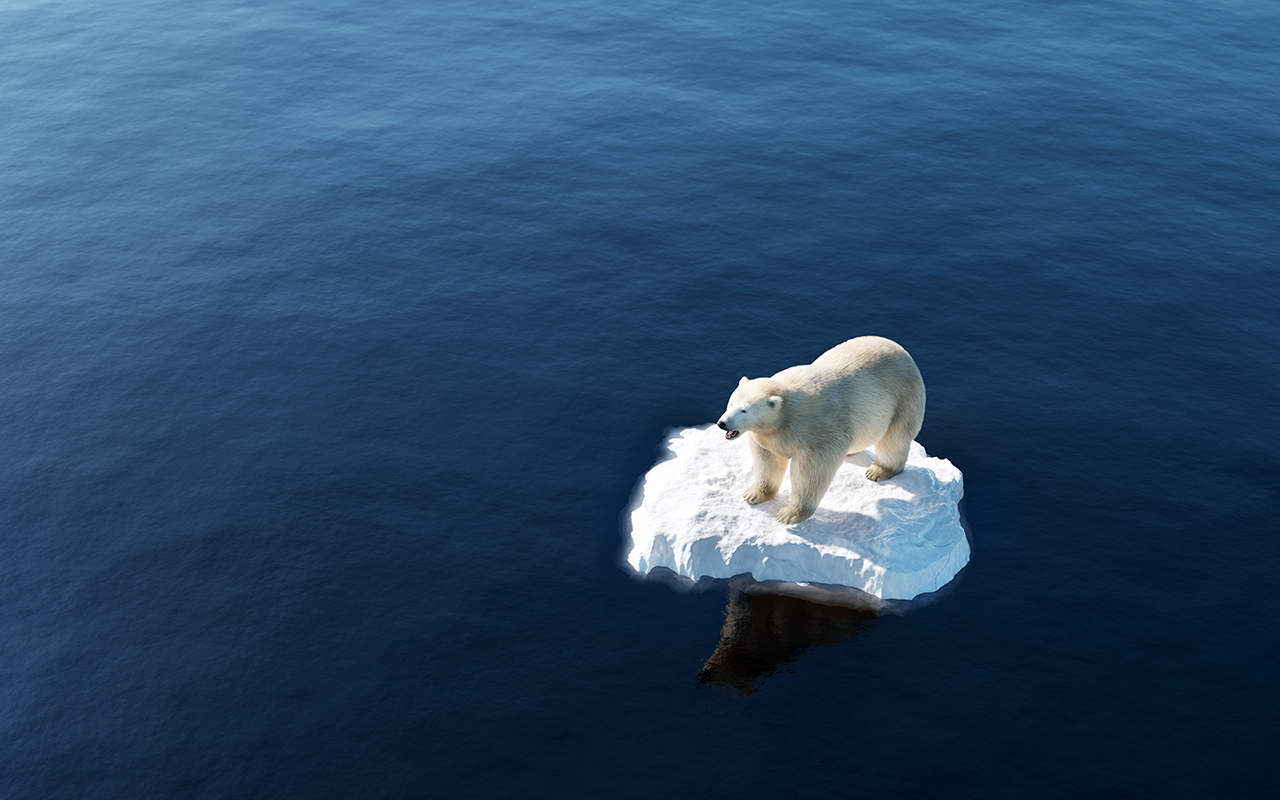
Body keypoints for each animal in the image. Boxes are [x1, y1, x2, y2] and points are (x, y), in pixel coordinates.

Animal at [716, 335, 926, 524]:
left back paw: (879, 470)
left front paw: (789, 514)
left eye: (744, 410)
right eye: (731, 402)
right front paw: (753, 494)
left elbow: (810, 472)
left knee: (894, 438)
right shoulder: (766, 436)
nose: (722, 423)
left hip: (904, 398)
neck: (786, 413)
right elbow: (767, 460)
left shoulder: (819, 430)